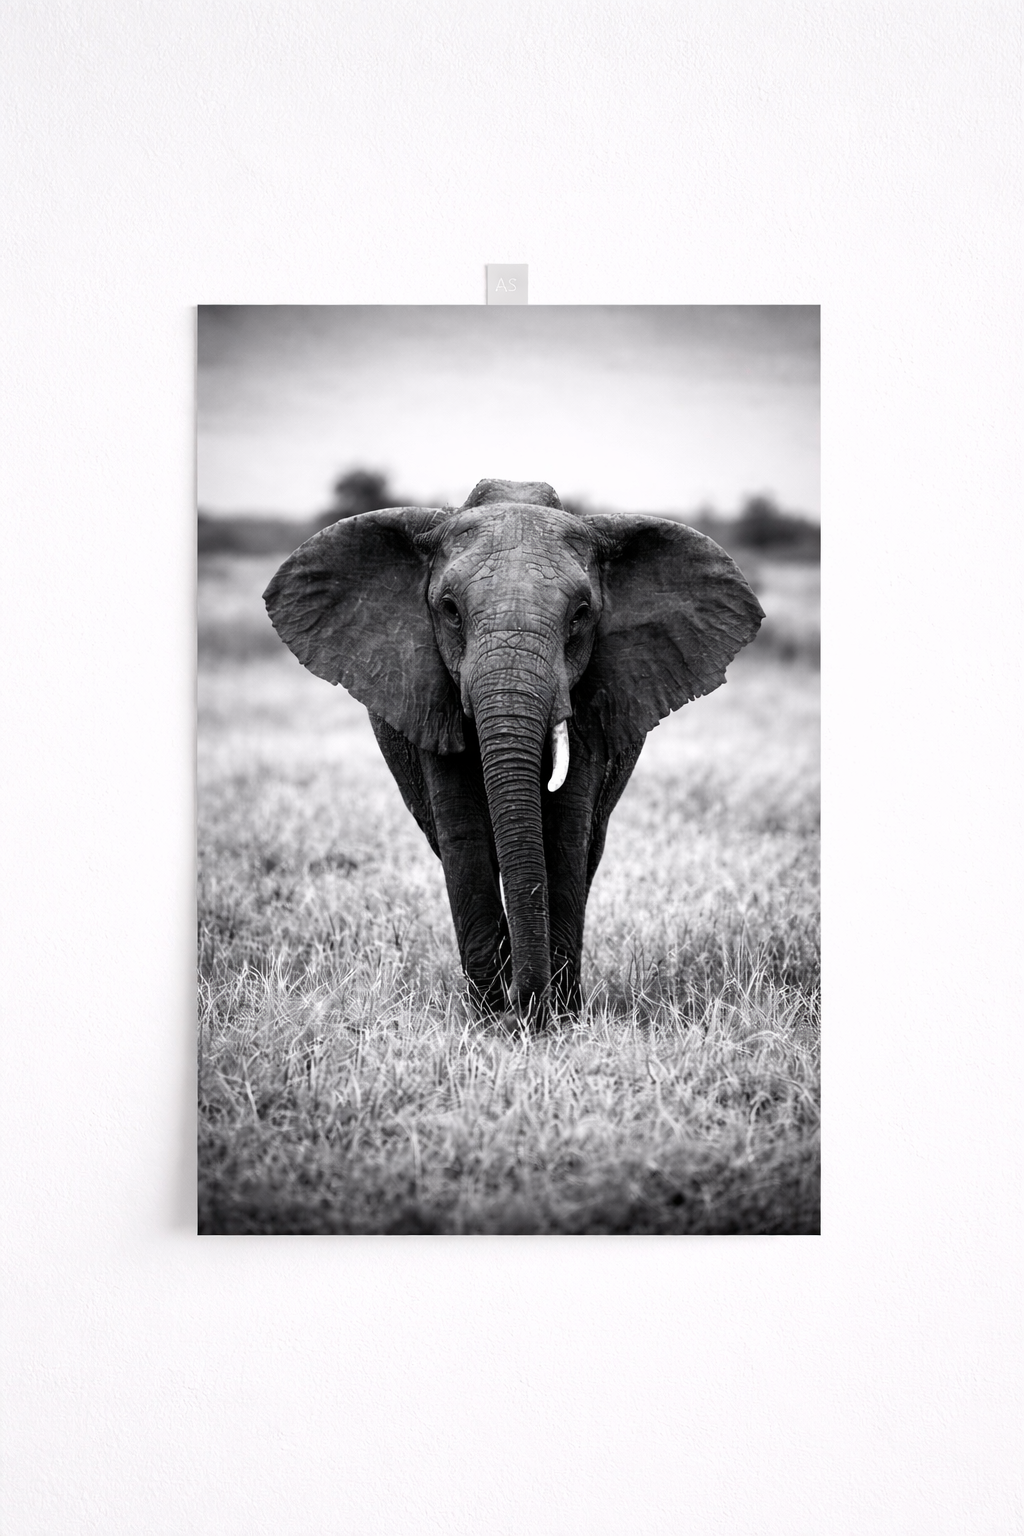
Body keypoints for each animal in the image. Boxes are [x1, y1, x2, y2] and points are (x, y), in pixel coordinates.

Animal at [264, 478, 763, 1024]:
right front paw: (490, 1019)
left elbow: (565, 834)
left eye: (581, 615)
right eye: (450, 611)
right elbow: (464, 835)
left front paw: (557, 1020)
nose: (522, 1008)